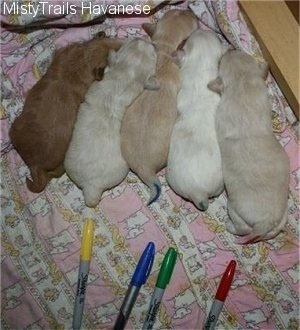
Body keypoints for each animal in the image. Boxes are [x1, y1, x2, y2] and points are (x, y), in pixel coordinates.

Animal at [207, 50, 290, 244]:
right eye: (242, 53)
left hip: (234, 209)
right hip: (281, 218)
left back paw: (230, 227)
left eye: (222, 60)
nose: (230, 49)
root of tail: (265, 223)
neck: (243, 84)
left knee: (242, 228)